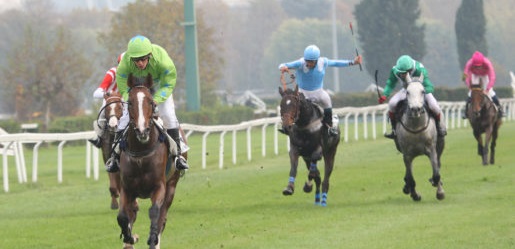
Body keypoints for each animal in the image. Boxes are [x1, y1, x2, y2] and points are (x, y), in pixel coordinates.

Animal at [117, 74, 183, 249]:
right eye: (130, 102)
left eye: (151, 102)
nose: (142, 131)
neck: (141, 152)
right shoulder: (127, 189)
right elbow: (123, 217)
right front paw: (130, 237)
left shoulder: (159, 186)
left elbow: (154, 212)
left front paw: (152, 238)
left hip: (172, 186)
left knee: (162, 217)